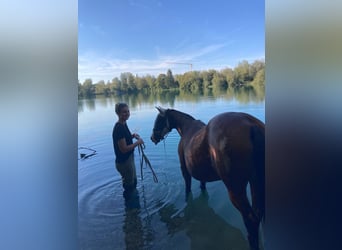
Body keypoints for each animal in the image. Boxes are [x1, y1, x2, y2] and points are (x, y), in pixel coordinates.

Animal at [151, 107, 266, 250]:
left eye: (158, 120)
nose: (152, 137)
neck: (186, 128)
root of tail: (251, 125)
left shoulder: (185, 170)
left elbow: (188, 188)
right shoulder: (202, 174)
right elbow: (202, 186)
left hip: (236, 190)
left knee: (251, 220)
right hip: (256, 182)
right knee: (257, 216)